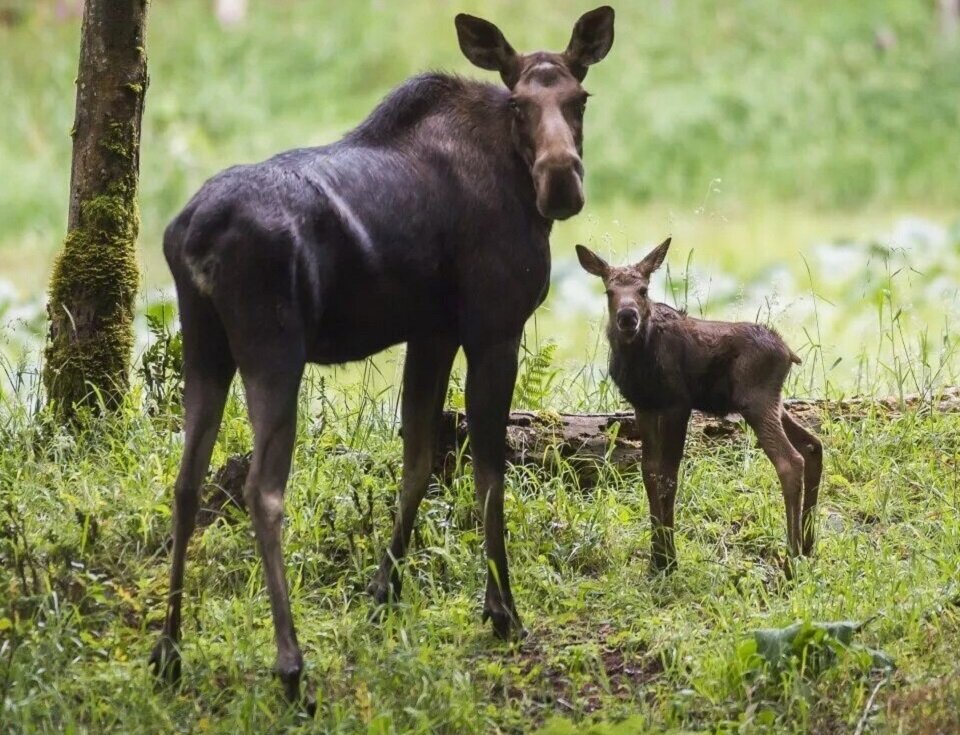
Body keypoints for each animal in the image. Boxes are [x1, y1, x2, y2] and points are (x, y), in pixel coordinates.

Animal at [150, 5, 616, 708]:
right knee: (263, 490)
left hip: (205, 347)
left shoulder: (431, 332)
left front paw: (383, 591)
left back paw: (169, 652)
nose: (561, 183)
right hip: (273, 348)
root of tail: (191, 237)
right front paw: (502, 610)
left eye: (579, 98)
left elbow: (418, 460)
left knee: (184, 484)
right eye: (518, 105)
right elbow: (489, 470)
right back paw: (291, 667)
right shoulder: (493, 326)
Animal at [572, 239, 820, 572]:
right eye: (608, 291)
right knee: (813, 444)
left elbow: (669, 476)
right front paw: (657, 560)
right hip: (774, 402)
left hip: (757, 402)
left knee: (790, 460)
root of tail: (789, 353)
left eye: (643, 290)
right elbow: (649, 473)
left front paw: (669, 560)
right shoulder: (644, 405)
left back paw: (791, 561)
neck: (639, 360)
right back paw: (808, 547)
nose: (627, 317)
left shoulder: (678, 403)